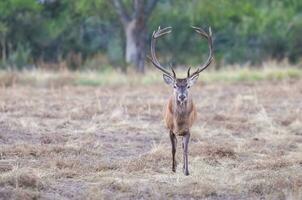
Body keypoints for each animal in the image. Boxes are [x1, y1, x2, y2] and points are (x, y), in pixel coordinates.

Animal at [147, 26, 214, 175]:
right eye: (175, 85)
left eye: (188, 85)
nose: (182, 96)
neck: (179, 122)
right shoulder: (170, 129)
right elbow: (173, 149)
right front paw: (173, 169)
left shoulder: (188, 130)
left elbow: (186, 150)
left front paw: (186, 170)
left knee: (183, 146)